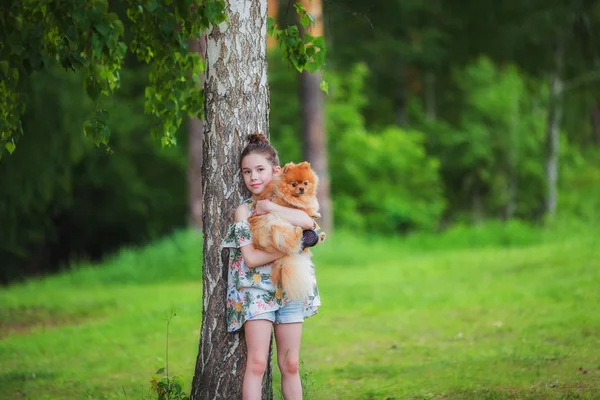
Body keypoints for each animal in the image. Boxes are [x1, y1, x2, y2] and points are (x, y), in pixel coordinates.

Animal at [247, 161, 326, 298]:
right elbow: (303, 209)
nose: (301, 188)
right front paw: (313, 213)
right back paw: (299, 232)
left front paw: (315, 214)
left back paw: (319, 237)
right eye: (294, 184)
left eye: (305, 183)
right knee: (293, 244)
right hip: (277, 225)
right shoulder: (288, 205)